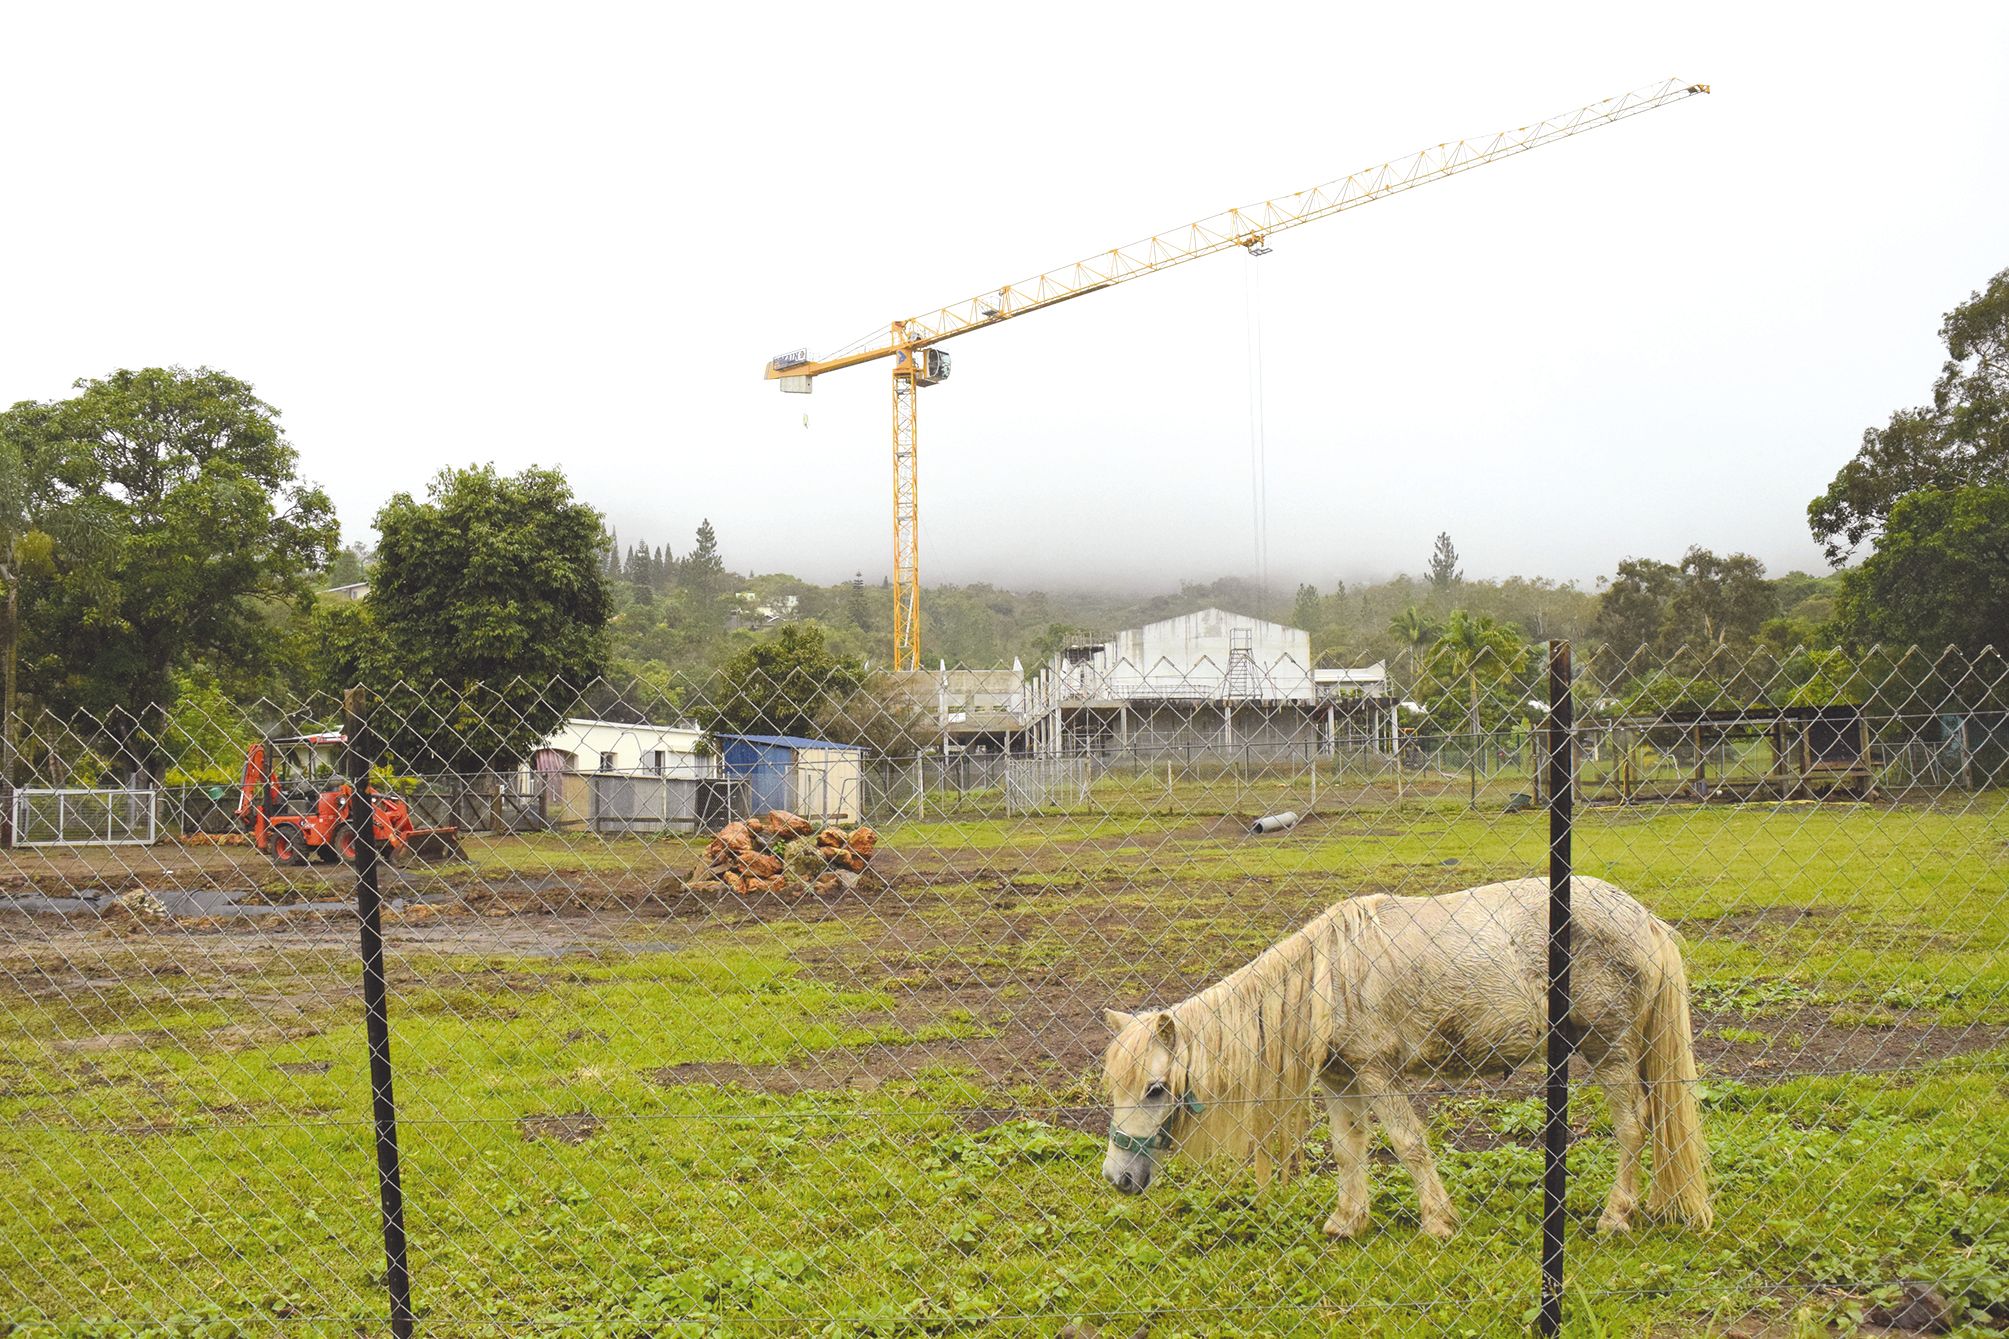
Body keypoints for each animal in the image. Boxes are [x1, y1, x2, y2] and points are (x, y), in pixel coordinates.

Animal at [1100, 875, 1711, 1244]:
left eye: (1155, 1089)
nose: (1117, 1178)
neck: (1326, 983)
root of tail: (1641, 917)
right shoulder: (1341, 1080)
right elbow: (1348, 1151)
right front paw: (1346, 1222)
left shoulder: (1378, 1074)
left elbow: (1408, 1145)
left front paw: (1438, 1223)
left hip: (1609, 1049)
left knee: (1633, 1127)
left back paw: (1616, 1216)